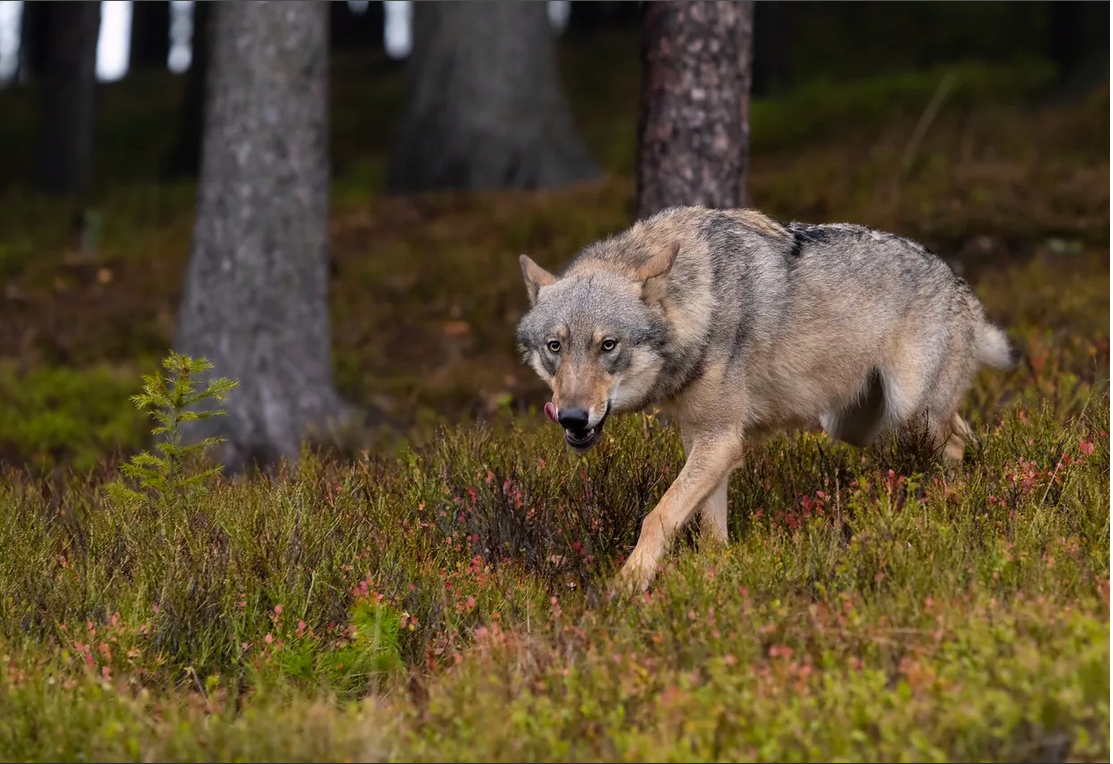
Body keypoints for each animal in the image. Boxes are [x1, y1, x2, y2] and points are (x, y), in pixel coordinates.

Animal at [514, 206, 1019, 596]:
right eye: (554, 347)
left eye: (608, 345)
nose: (571, 418)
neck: (699, 304)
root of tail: (959, 284)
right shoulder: (706, 440)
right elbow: (707, 531)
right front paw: (715, 574)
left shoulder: (720, 441)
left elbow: (656, 517)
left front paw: (626, 587)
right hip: (855, 425)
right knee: (966, 431)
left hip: (910, 411)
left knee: (955, 442)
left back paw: (953, 501)